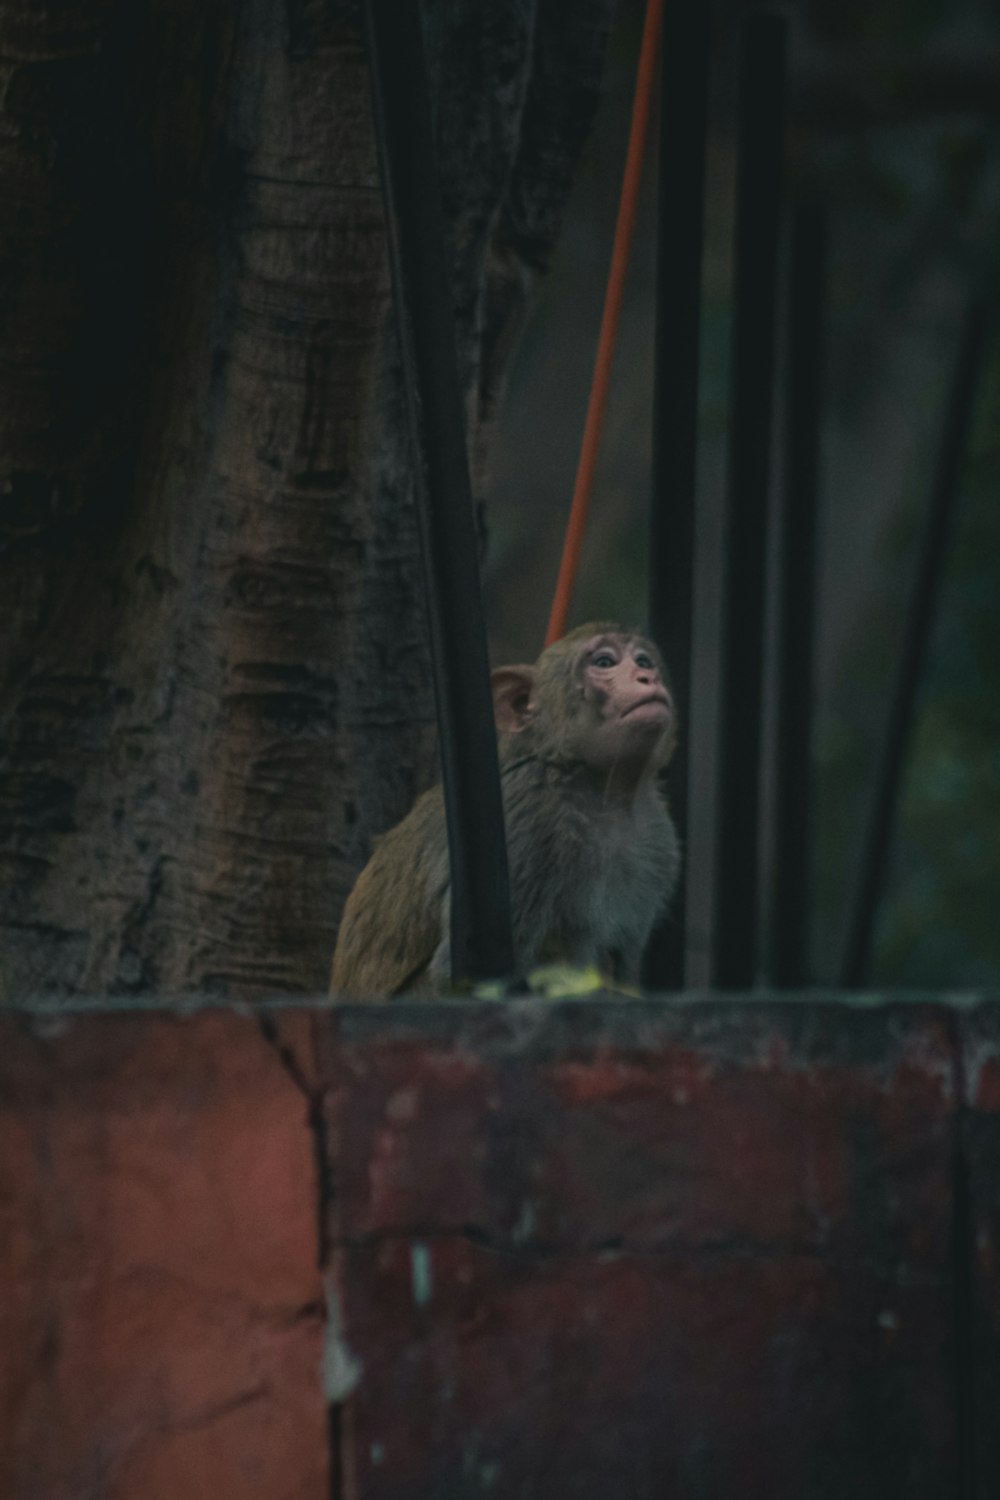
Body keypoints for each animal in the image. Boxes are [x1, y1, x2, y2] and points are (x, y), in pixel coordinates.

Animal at [332, 621, 683, 996]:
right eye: (604, 662)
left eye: (644, 660)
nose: (647, 677)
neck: (604, 791)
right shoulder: (528, 818)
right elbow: (462, 977)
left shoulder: (658, 836)